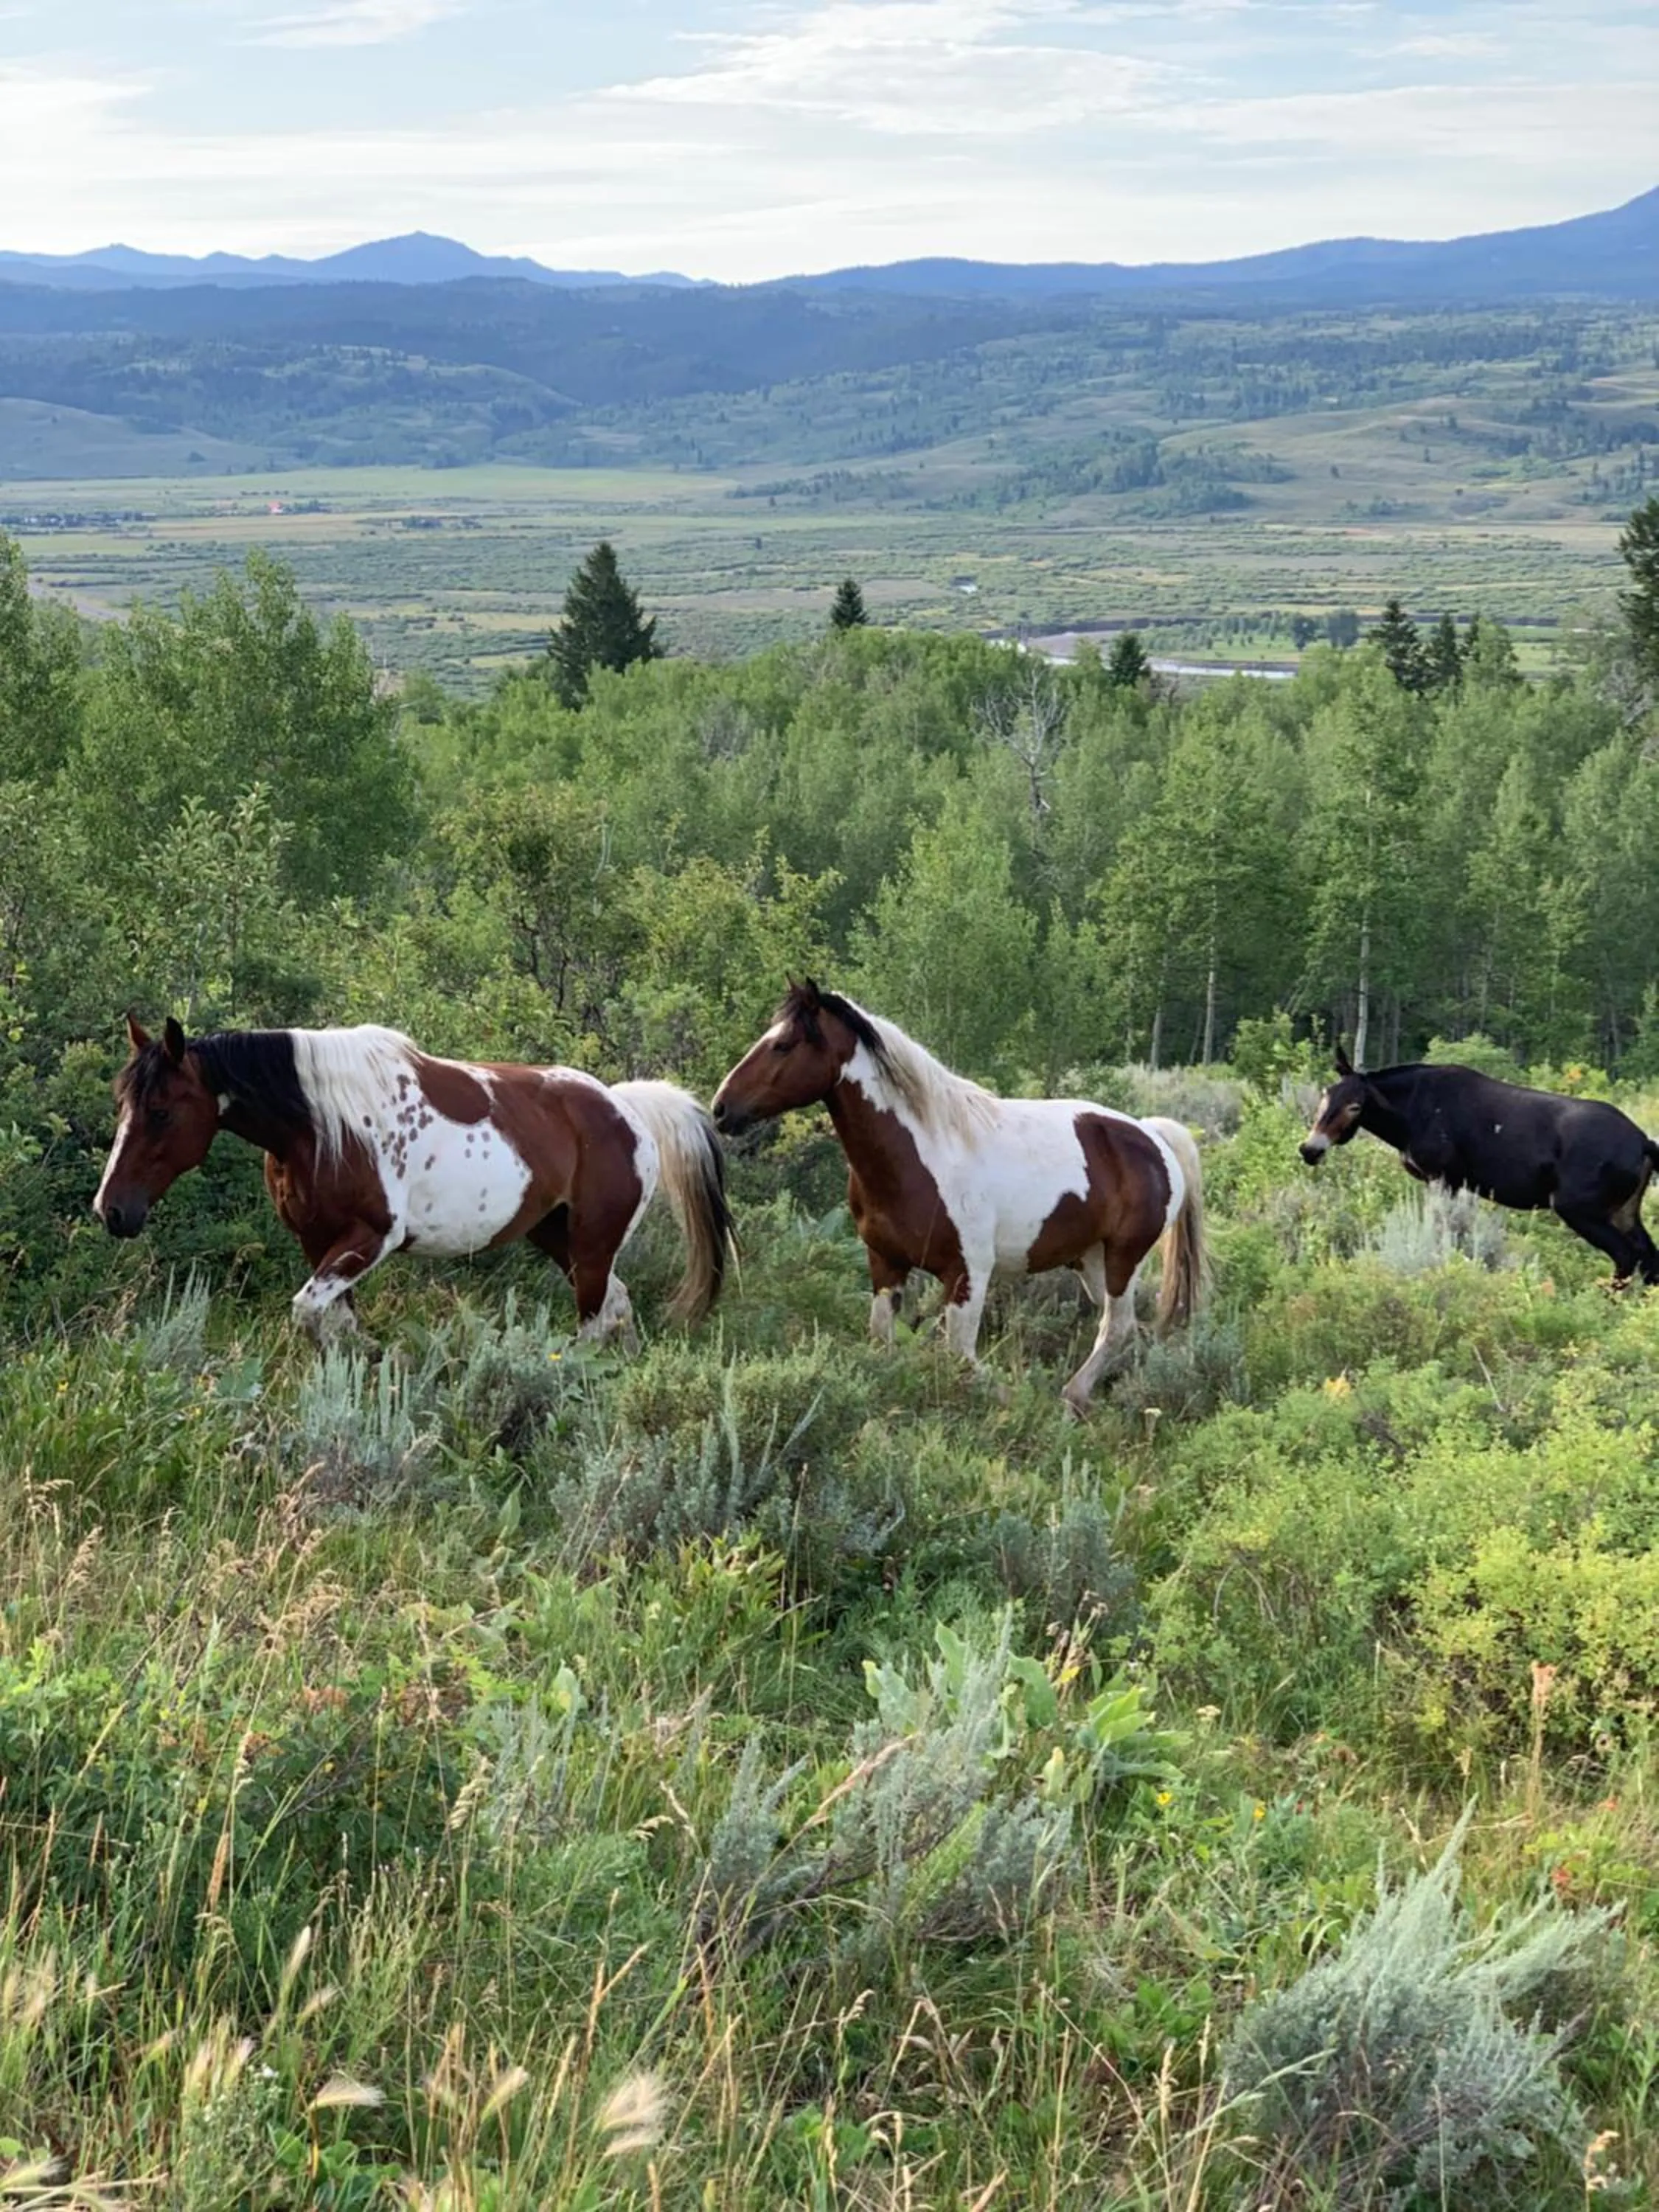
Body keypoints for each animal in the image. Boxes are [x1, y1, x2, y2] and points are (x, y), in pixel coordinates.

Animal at [94, 1016, 735, 1344]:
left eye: (161, 1112)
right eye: (122, 1102)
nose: (111, 1210)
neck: (320, 1124)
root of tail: (626, 1108)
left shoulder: (371, 1238)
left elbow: (309, 1313)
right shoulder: (317, 1241)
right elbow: (334, 1319)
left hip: (593, 1244)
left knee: (597, 1315)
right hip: (560, 1238)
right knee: (615, 1307)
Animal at [711, 980, 1207, 1414]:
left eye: (784, 1044)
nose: (721, 1109)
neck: (922, 1155)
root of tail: (1152, 1134)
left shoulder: (968, 1273)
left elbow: (960, 1356)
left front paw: (1010, 1400)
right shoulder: (885, 1262)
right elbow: (883, 1338)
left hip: (1124, 1255)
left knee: (1115, 1326)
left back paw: (1073, 1396)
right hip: (1091, 1260)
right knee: (1126, 1326)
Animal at [1300, 1044, 1659, 1285]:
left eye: (1355, 1106)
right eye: (1325, 1095)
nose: (1309, 1149)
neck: (1404, 1122)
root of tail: (1644, 1143)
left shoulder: (1443, 1177)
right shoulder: (1451, 1183)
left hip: (1578, 1207)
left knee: (1626, 1257)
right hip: (1624, 1209)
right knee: (1648, 1257)